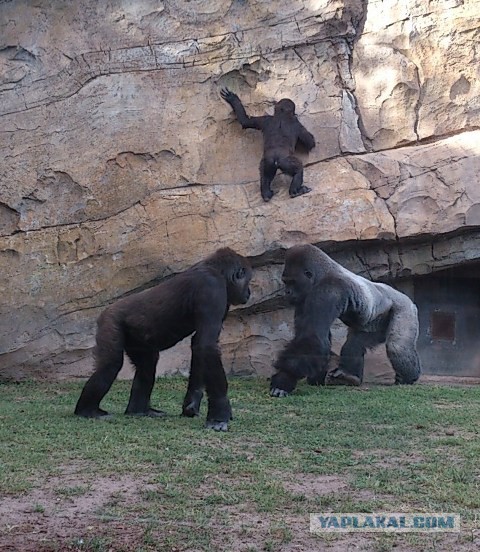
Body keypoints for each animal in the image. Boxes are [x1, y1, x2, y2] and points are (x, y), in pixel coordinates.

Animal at [75, 247, 251, 432]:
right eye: (248, 281)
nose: (249, 292)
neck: (217, 270)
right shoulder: (213, 288)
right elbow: (207, 345)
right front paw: (219, 415)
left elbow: (199, 345)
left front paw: (192, 403)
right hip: (110, 321)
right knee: (110, 365)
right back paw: (88, 411)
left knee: (147, 364)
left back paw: (138, 411)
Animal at [272, 244, 422, 394]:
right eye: (286, 282)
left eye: (292, 282)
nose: (287, 292)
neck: (323, 274)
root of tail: (406, 298)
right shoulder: (303, 299)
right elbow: (316, 338)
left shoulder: (327, 291)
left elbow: (312, 338)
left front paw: (284, 379)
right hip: (374, 322)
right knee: (355, 343)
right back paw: (349, 376)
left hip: (405, 308)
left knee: (397, 347)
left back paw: (408, 378)